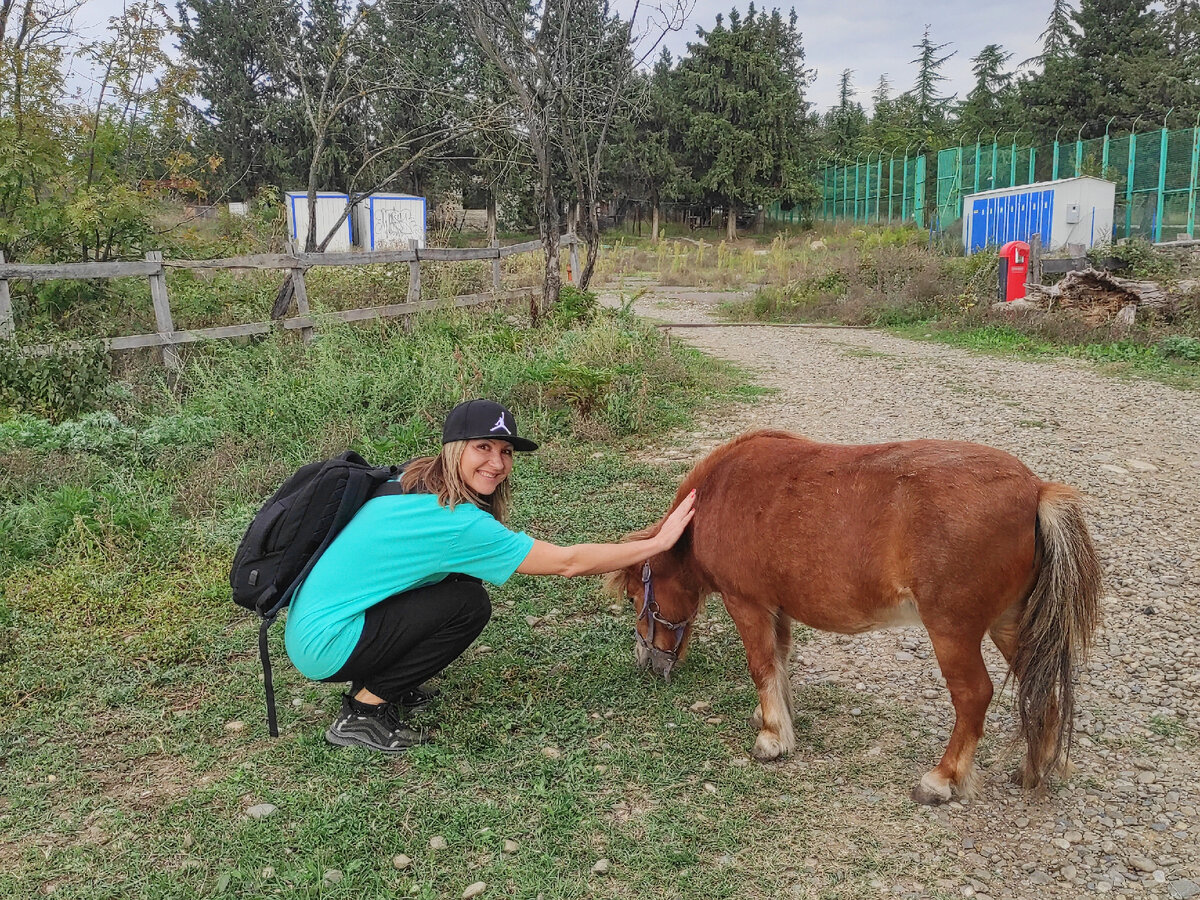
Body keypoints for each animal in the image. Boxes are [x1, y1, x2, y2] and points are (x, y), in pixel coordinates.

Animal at [614, 429, 1099, 801]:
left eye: (639, 598)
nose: (647, 662)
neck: (716, 496)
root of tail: (1035, 490)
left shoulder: (747, 604)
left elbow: (761, 665)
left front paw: (771, 738)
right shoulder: (777, 608)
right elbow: (779, 662)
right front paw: (775, 717)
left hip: (953, 631)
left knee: (974, 696)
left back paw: (942, 779)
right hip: (1009, 625)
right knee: (1042, 688)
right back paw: (1035, 768)